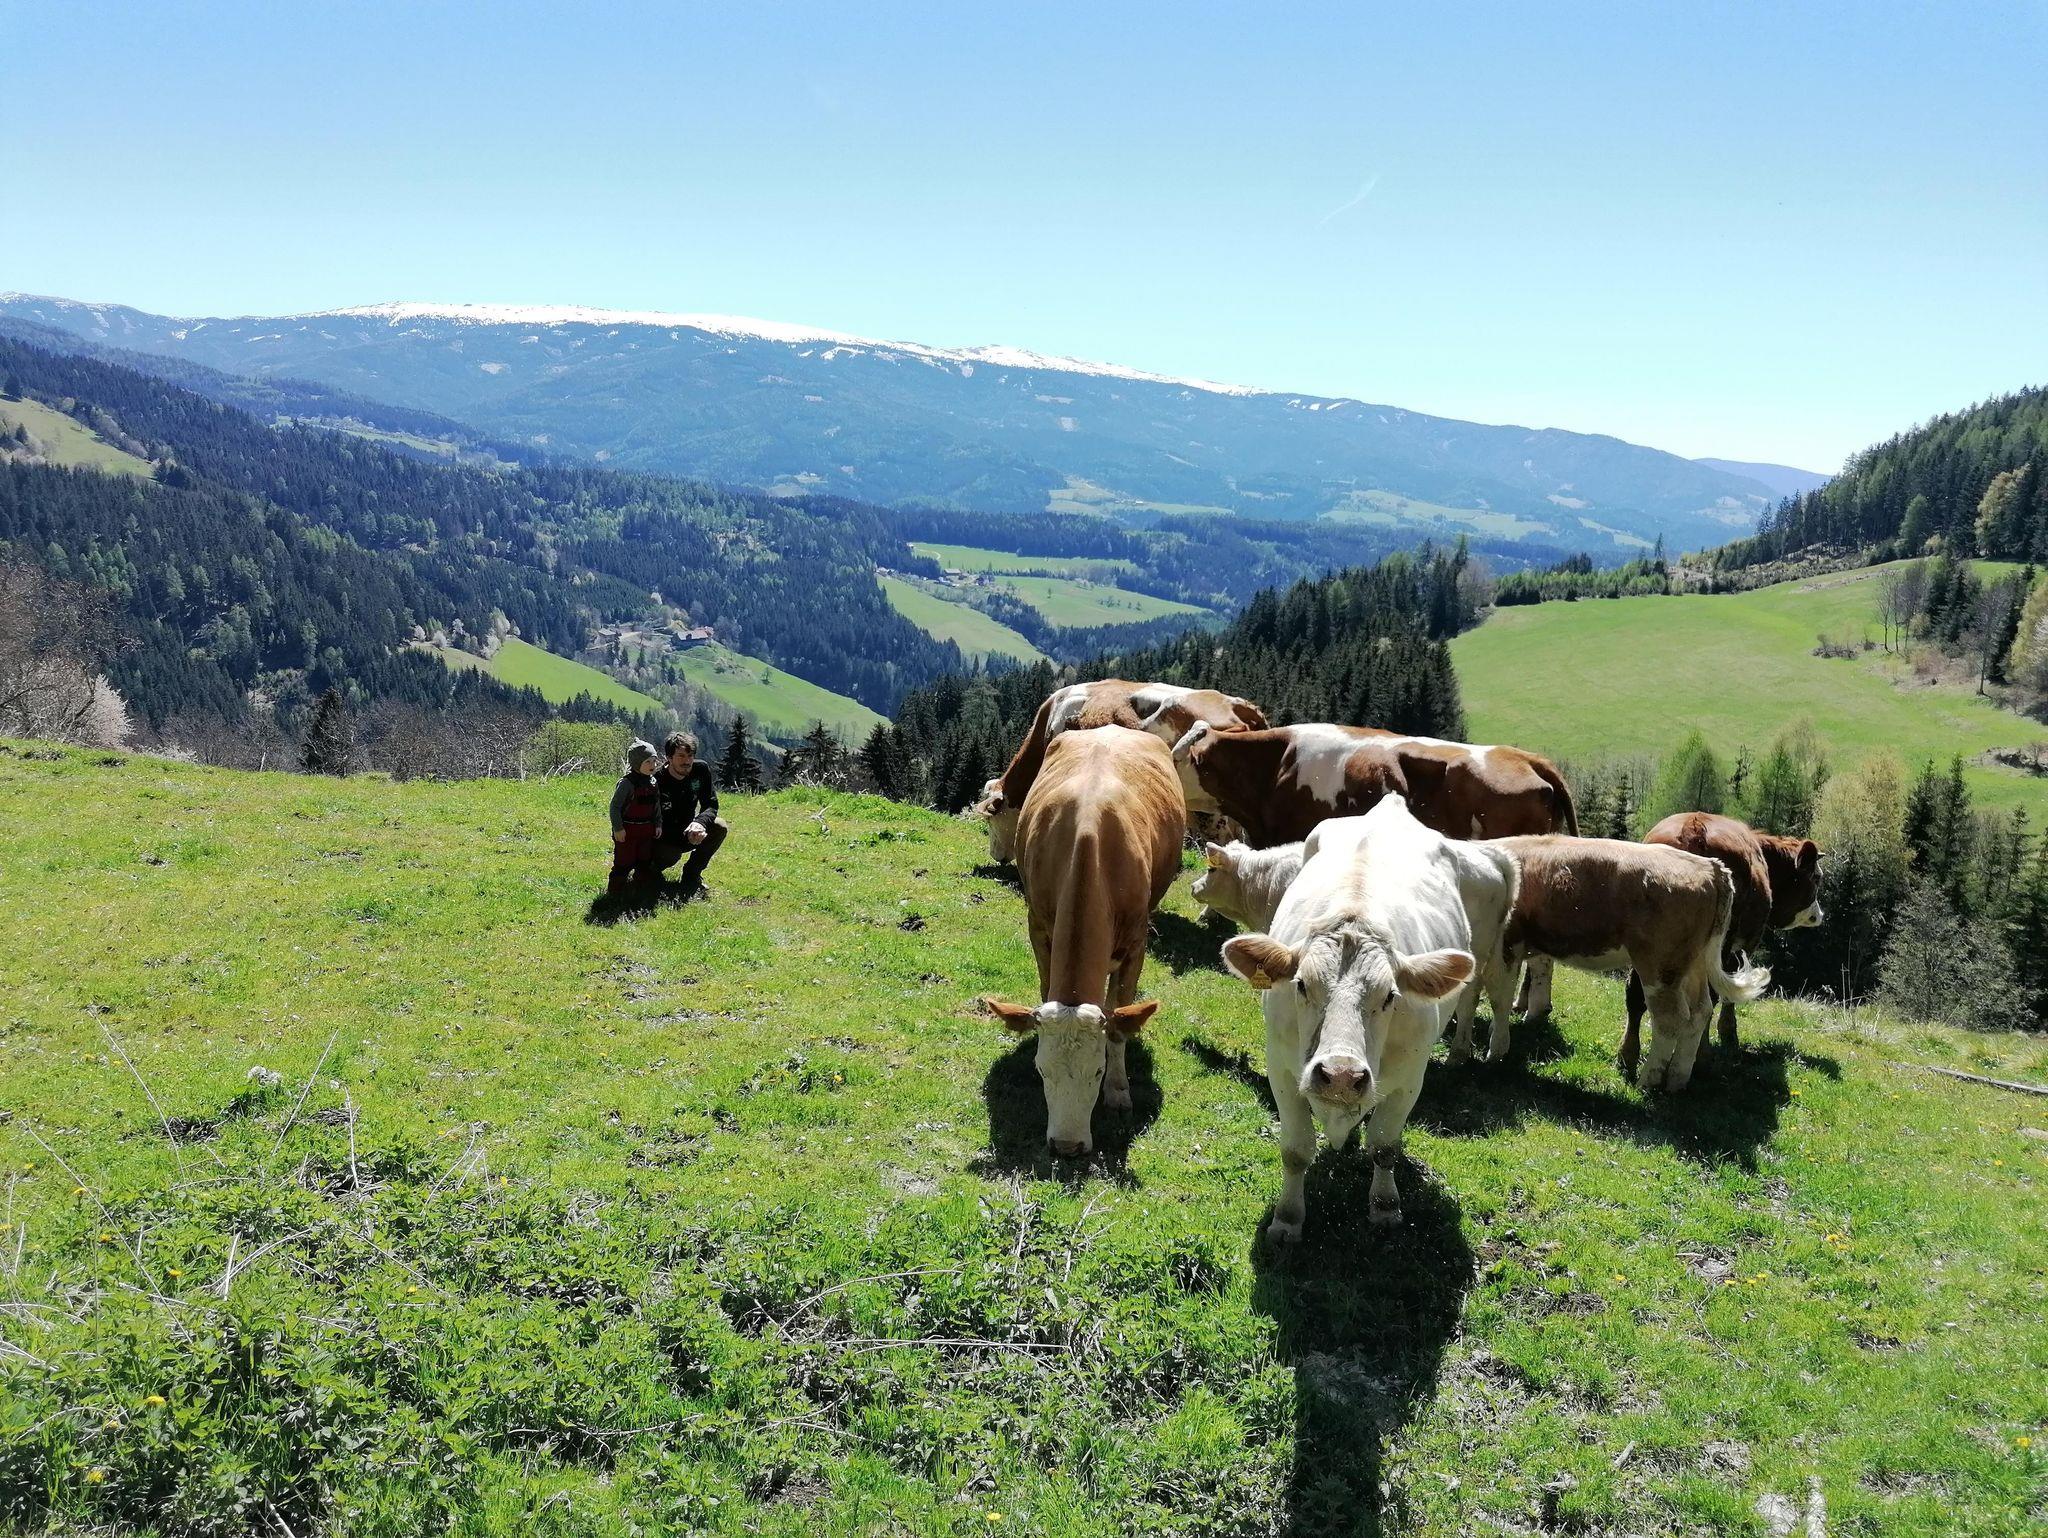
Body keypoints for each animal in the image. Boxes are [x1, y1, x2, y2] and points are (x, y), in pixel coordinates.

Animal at [979, 725, 1186, 1156]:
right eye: (1043, 1070)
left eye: (1097, 1071)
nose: (1067, 1146)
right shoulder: (1038, 925)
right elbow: (1045, 986)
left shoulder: (1137, 944)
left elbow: (1119, 1022)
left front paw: (1119, 1090)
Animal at [1220, 797, 1481, 1236]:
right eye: (1301, 985)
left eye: (1390, 996)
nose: (1341, 1075)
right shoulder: (1281, 1069)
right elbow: (1296, 1150)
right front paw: (1287, 1218)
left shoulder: (1410, 1079)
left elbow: (1385, 1147)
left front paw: (1385, 1206)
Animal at [1492, 835, 1770, 1093]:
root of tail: (1710, 866)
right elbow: (1540, 971)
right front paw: (1533, 1016)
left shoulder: (1506, 944)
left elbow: (1501, 999)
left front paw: (1496, 1051)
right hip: (1694, 964)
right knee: (1700, 1011)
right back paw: (1677, 1080)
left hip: (1659, 965)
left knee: (1669, 1018)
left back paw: (1648, 1081)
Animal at [1621, 814, 1824, 1075]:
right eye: (1817, 878)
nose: (1819, 914)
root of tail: (1694, 827)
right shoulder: (1745, 945)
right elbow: (1732, 989)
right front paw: (1729, 1034)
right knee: (1709, 995)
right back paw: (1702, 1057)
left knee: (1636, 991)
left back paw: (1628, 1054)